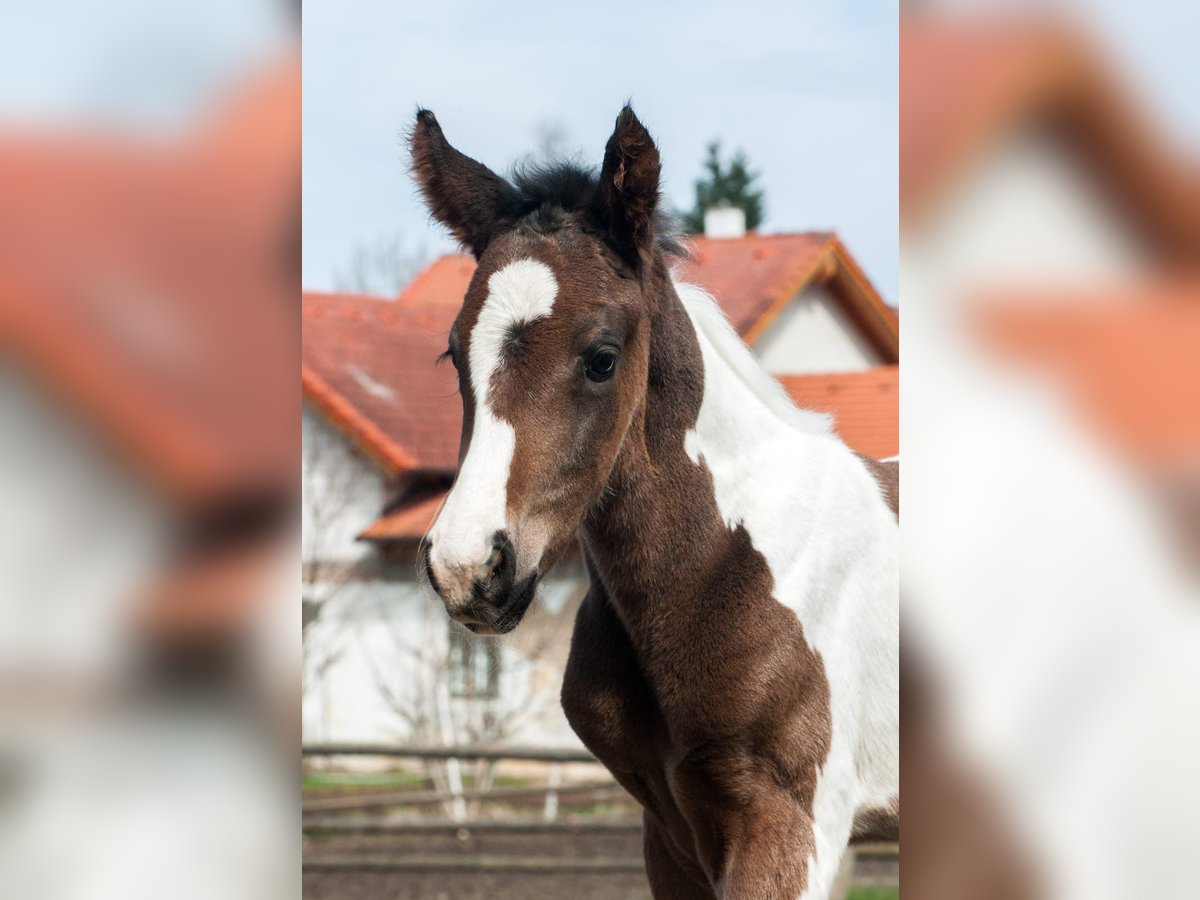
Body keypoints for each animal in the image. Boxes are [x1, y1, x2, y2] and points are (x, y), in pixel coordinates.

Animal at [410, 105, 898, 899]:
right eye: (455, 355)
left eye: (603, 358)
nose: (467, 567)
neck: (726, 569)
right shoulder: (669, 832)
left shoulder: (789, 825)